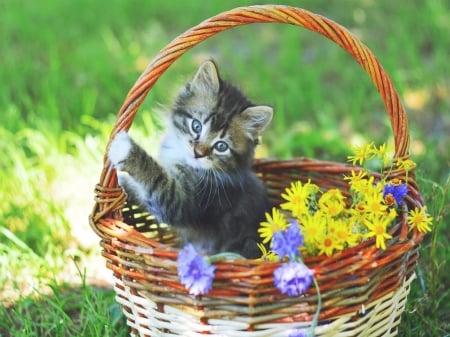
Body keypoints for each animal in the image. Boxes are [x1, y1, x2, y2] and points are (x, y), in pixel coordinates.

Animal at [107, 59, 272, 258]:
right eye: (196, 126)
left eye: (221, 146)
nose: (198, 153)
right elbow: (143, 192)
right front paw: (121, 183)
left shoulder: (183, 203)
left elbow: (157, 180)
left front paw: (125, 150)